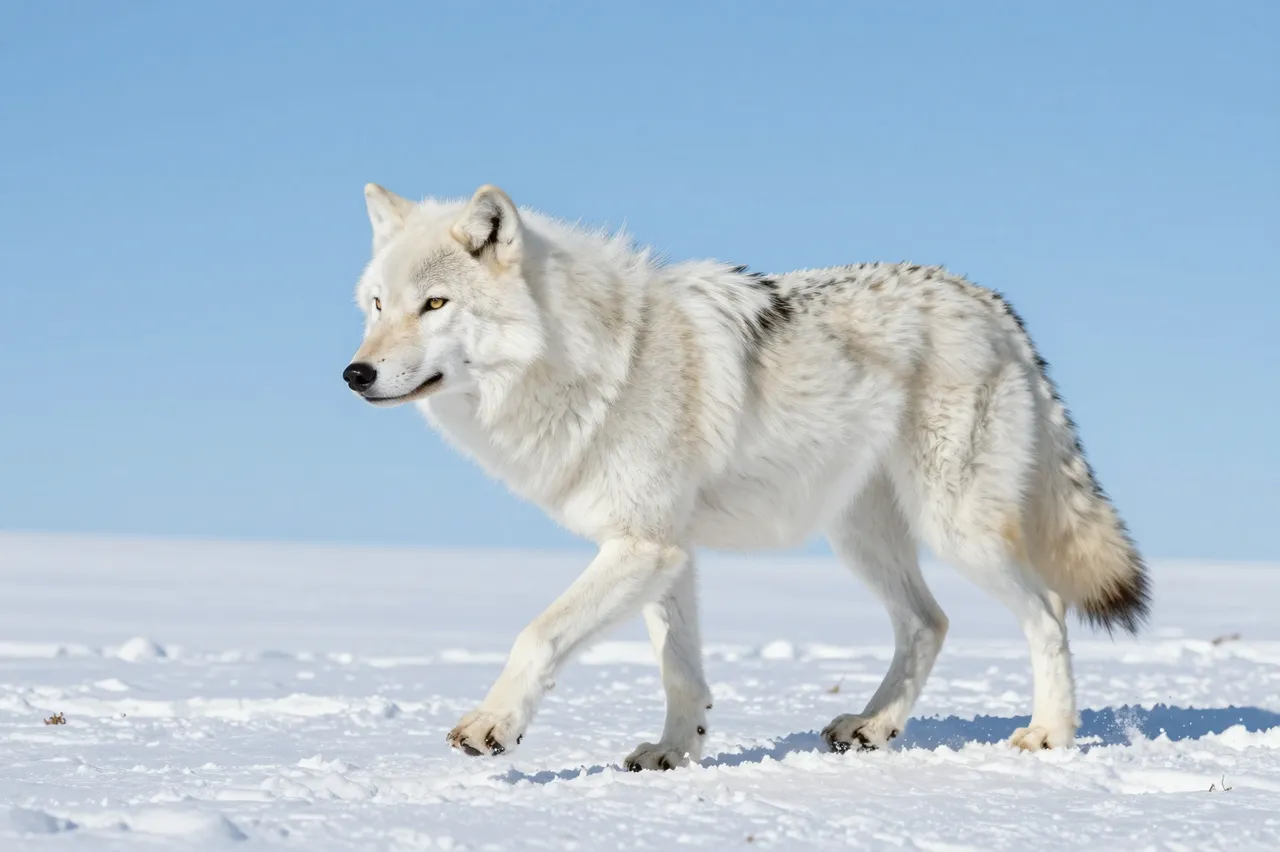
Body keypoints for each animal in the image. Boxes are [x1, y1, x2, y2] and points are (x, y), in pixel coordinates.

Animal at [343, 182, 1150, 770]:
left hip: (959, 531)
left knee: (1047, 612)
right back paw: (872, 727)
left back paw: (1049, 735)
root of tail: (989, 302)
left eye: (435, 304)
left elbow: (536, 635)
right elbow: (680, 670)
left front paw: (492, 726)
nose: (356, 374)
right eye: (377, 306)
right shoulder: (666, 552)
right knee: (931, 622)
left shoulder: (643, 545)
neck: (596, 357)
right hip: (861, 538)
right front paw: (675, 753)